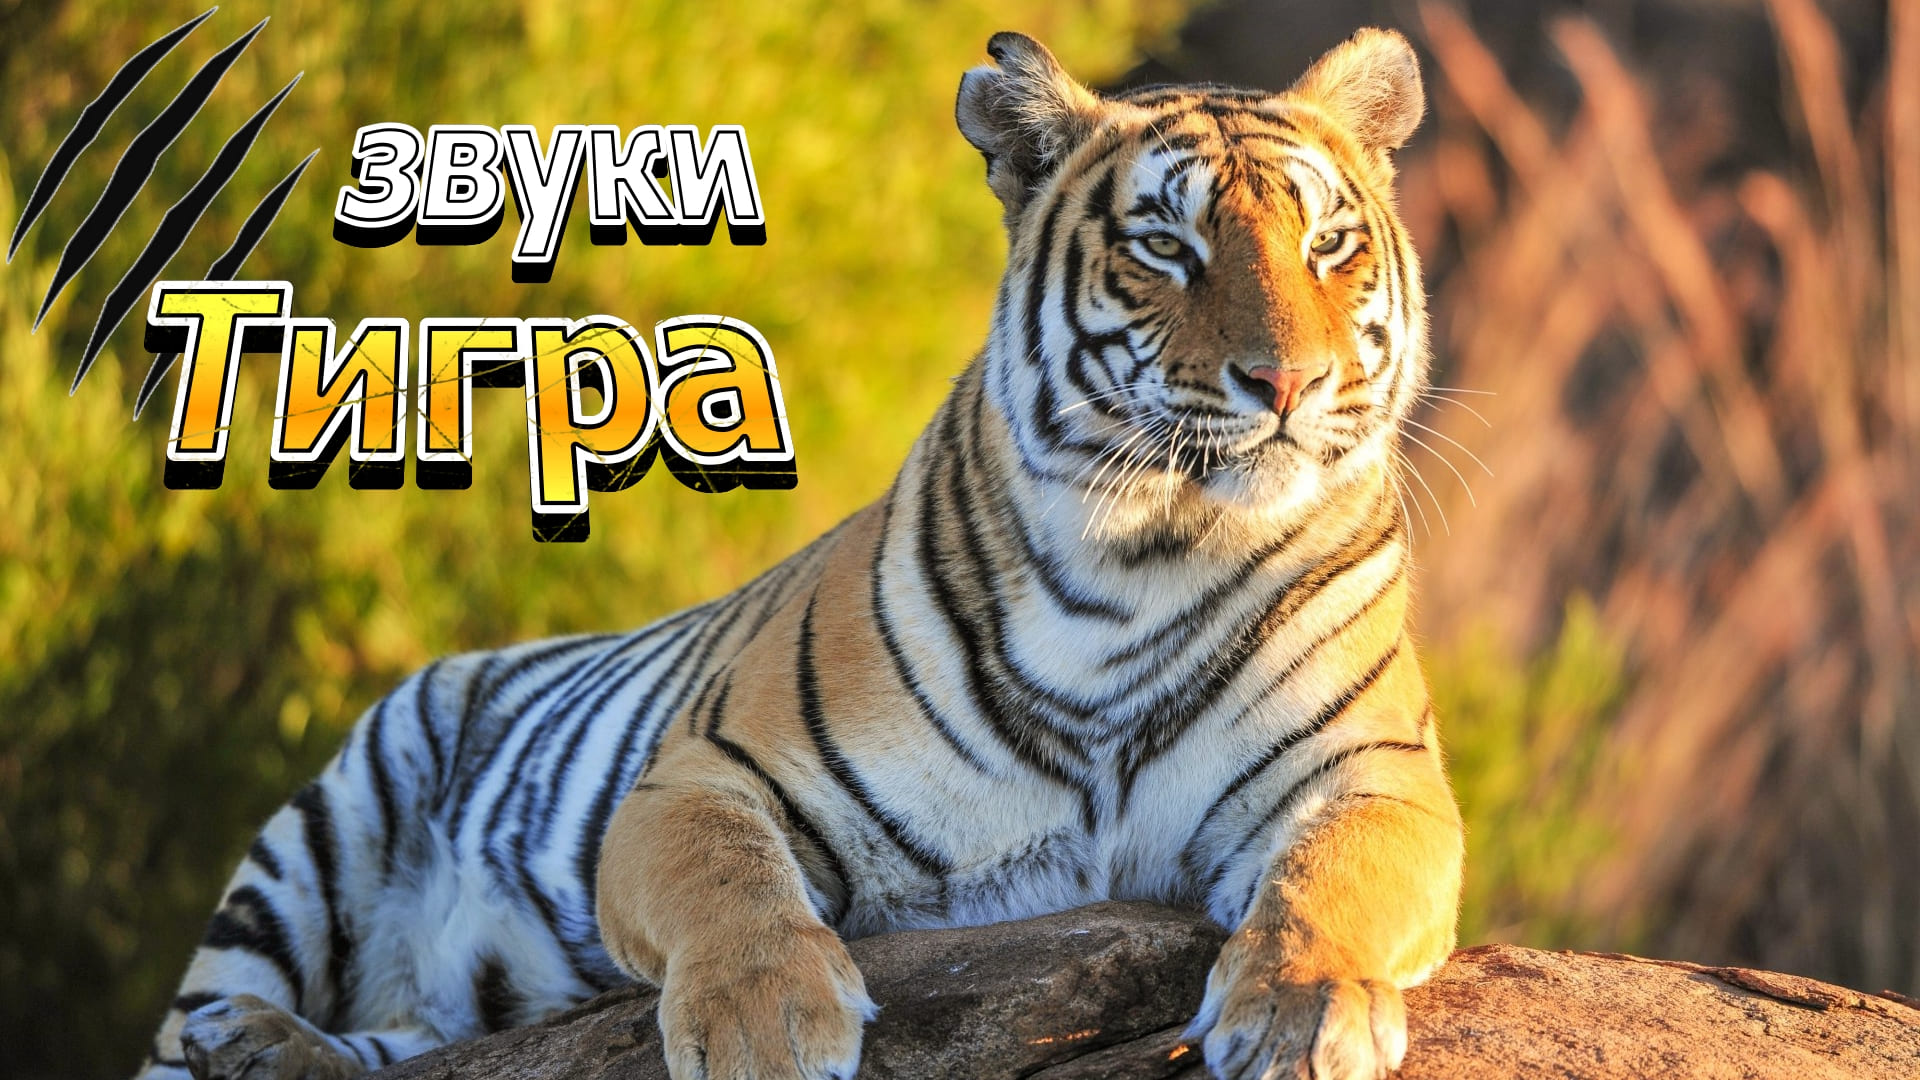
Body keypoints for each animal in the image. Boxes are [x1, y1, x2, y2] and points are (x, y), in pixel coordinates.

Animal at [137, 26, 1463, 1080]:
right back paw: (240, 1037)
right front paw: (763, 1030)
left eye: (1331, 245)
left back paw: (272, 1054)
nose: (1289, 382)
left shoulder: (1378, 777)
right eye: (1167, 248)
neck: (1148, 560)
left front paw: (1302, 1015)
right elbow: (731, 885)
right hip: (318, 836)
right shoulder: (699, 775)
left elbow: (1332, 881)